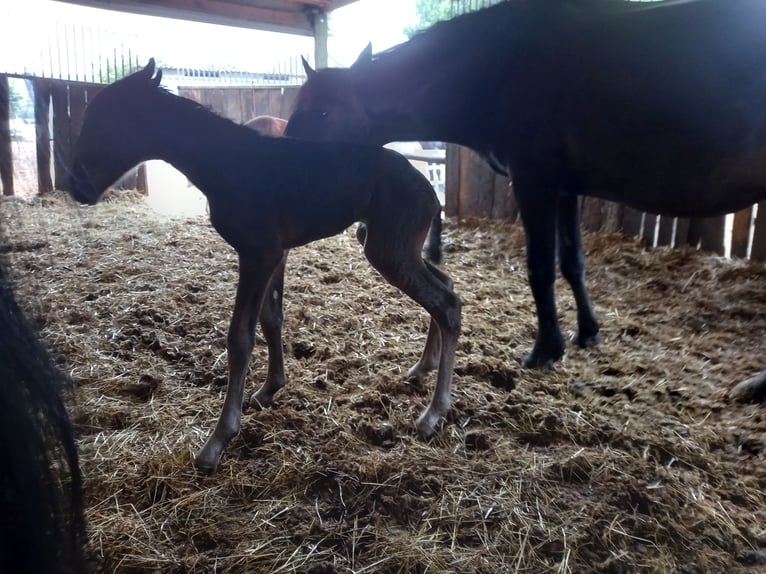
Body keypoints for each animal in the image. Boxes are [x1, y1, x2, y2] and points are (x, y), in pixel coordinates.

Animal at [67, 62, 462, 476]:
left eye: (104, 121)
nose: (75, 185)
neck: (229, 163)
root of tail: (430, 192)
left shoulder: (257, 253)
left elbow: (240, 337)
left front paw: (217, 440)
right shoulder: (277, 253)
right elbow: (272, 317)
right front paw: (271, 387)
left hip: (388, 251)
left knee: (446, 303)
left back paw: (434, 413)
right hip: (395, 247)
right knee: (446, 285)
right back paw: (423, 367)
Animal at [284, 0, 766, 404]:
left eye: (322, 112)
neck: (504, 67)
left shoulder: (536, 181)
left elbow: (540, 267)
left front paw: (545, 349)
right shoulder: (567, 188)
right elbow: (572, 262)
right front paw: (587, 332)